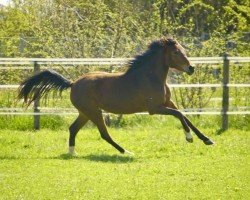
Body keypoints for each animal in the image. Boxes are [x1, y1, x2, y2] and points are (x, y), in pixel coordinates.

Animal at [17, 36, 214, 155]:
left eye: (183, 50)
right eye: (175, 52)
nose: (191, 68)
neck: (150, 77)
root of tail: (72, 83)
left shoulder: (169, 103)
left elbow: (186, 117)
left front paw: (207, 140)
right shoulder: (154, 108)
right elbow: (180, 115)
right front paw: (189, 138)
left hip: (85, 113)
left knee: (73, 129)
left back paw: (72, 153)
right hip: (94, 112)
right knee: (104, 134)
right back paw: (126, 152)